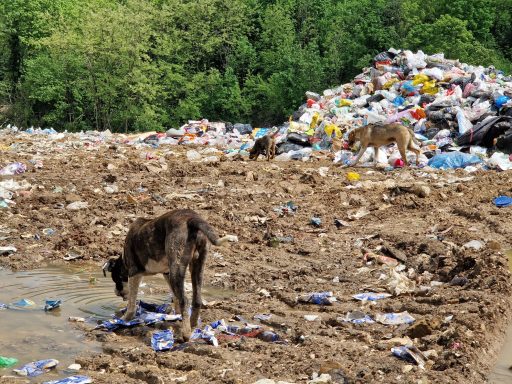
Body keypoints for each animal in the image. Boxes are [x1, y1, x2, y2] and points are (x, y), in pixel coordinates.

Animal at [104, 210, 240, 340]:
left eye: (115, 279)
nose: (116, 292)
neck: (123, 261)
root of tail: (192, 218)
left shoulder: (134, 273)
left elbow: (131, 303)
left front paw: (124, 319)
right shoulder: (167, 273)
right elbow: (175, 297)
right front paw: (177, 315)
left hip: (177, 268)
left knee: (185, 300)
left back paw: (185, 334)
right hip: (196, 266)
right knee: (196, 300)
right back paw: (192, 325)